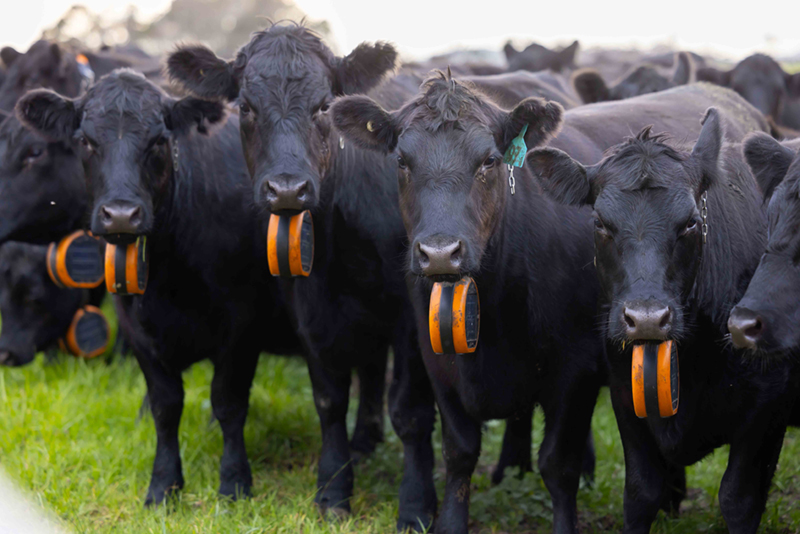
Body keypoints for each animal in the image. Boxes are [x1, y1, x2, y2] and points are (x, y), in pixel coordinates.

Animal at [16, 69, 303, 505]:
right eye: (85, 141)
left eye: (158, 141)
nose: (120, 214)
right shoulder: (137, 332)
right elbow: (166, 407)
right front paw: (164, 485)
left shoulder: (242, 328)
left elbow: (228, 403)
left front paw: (234, 482)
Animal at [330, 74, 767, 533]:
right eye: (402, 161)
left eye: (489, 161)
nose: (439, 252)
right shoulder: (438, 363)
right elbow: (459, 452)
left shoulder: (575, 369)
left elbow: (558, 465)